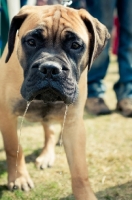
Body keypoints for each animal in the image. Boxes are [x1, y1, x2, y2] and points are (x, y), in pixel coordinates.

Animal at [0, 4, 110, 200]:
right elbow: (14, 148)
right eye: (31, 42)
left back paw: (46, 156)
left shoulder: (74, 124)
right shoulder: (7, 115)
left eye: (75, 45)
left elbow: (79, 169)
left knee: (50, 132)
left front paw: (85, 194)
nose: (50, 68)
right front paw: (19, 178)